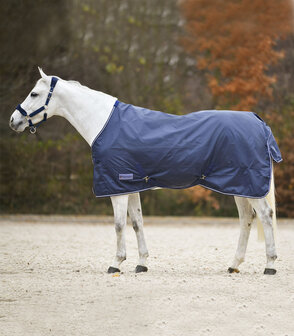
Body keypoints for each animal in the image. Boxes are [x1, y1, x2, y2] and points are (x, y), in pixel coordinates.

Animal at [8, 68, 280, 276]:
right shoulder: (130, 185)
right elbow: (137, 223)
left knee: (265, 216)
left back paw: (270, 265)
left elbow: (119, 225)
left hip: (248, 185)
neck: (103, 123)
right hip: (239, 186)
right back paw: (234, 265)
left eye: (34, 93)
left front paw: (116, 263)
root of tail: (258, 122)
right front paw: (141, 263)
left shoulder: (117, 187)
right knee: (246, 219)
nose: (13, 121)